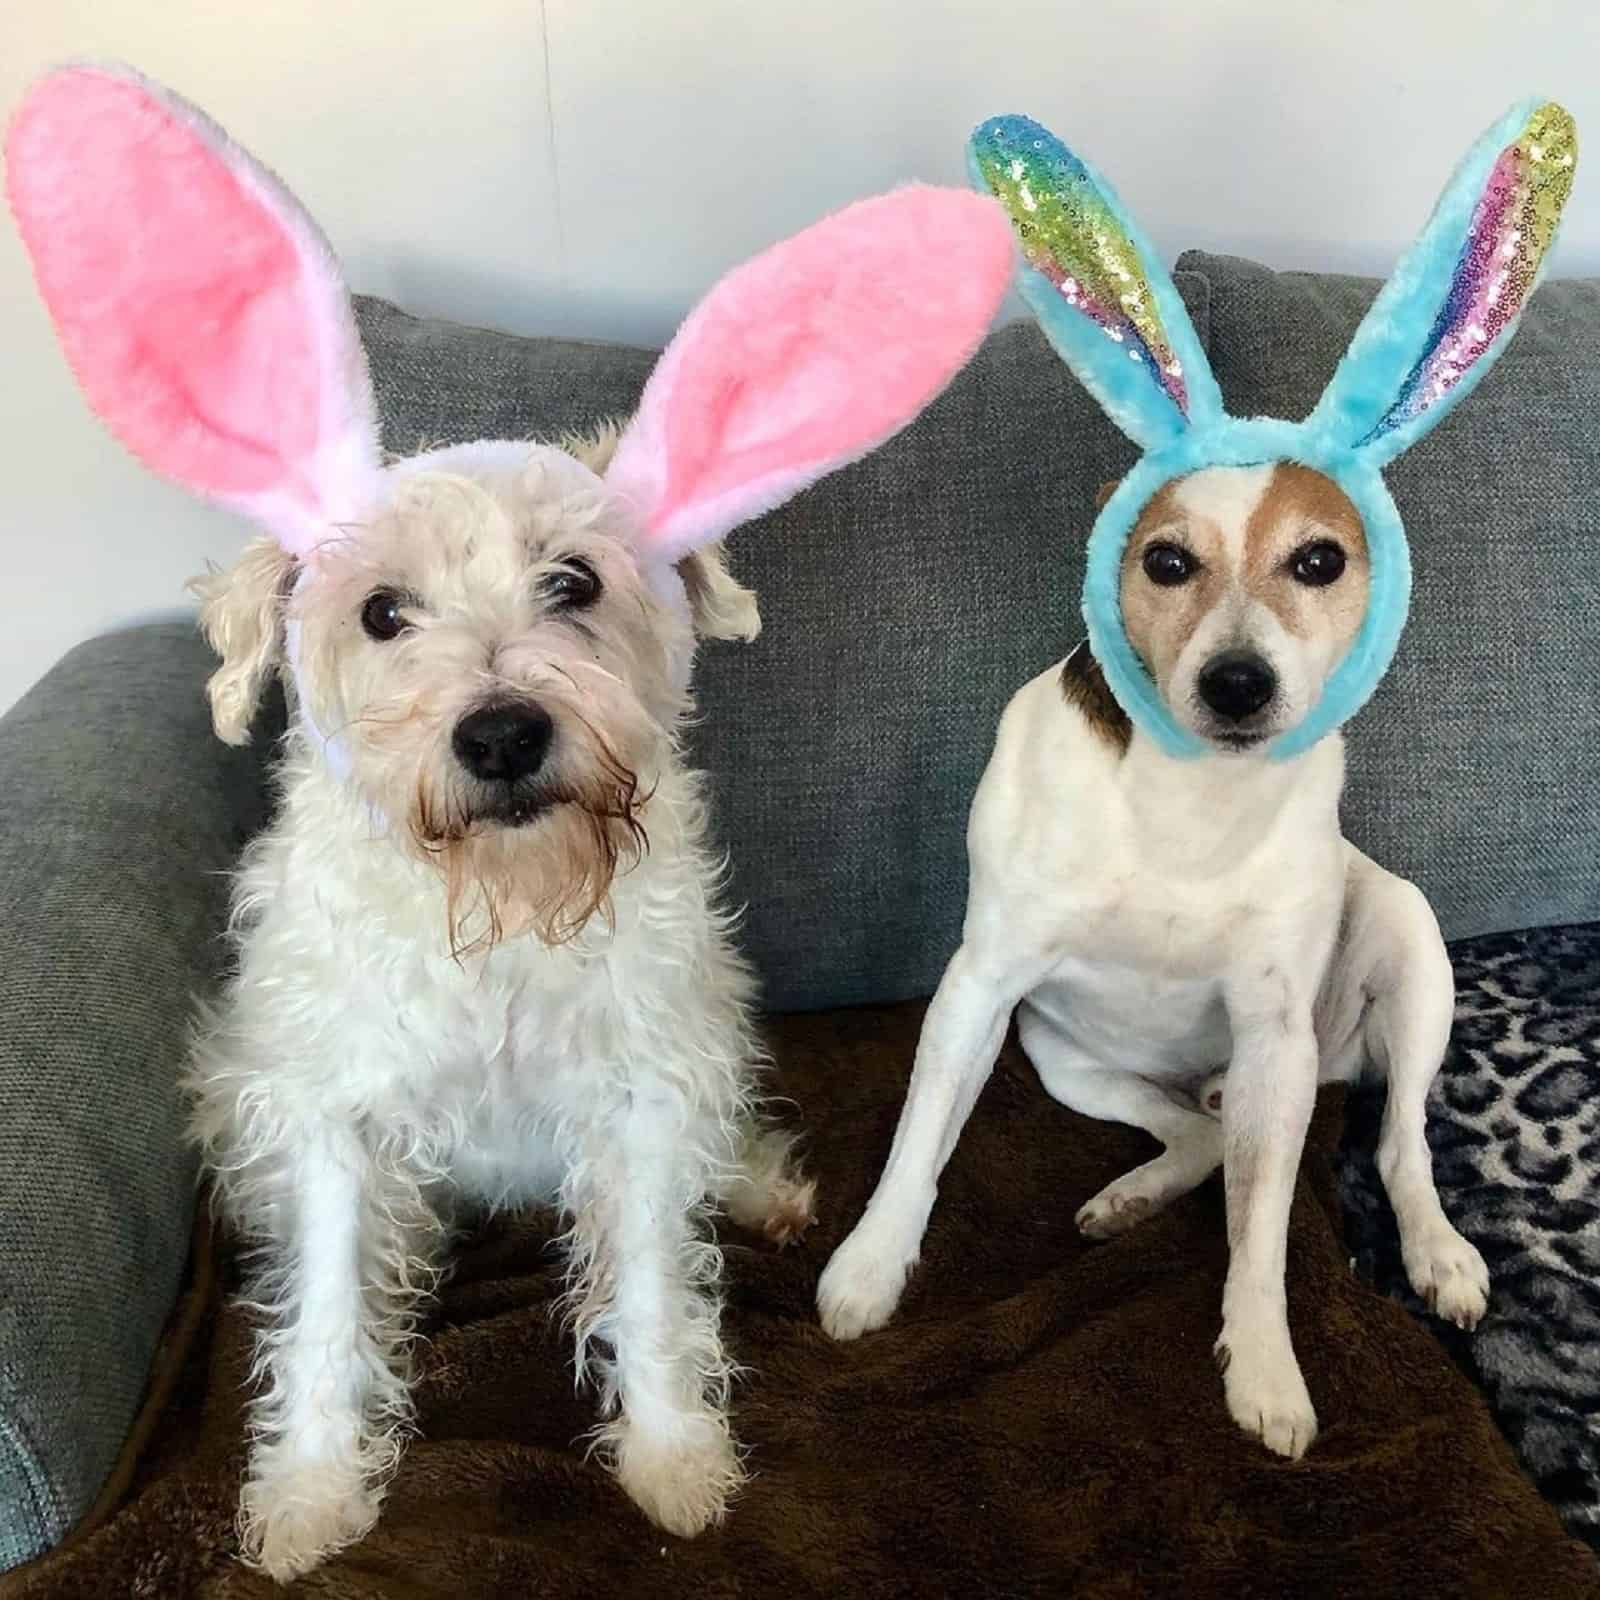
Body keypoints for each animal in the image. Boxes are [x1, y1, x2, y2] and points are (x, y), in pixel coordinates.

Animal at [819, 467, 1491, 1465]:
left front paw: (1264, 1366)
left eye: (1320, 560)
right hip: (1057, 1054)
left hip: (1404, 945)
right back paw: (1133, 1195)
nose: (1238, 682)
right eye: (1167, 562)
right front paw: (870, 1266)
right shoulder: (979, 988)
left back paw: (1438, 1251)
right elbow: (917, 1144)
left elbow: (1261, 1236)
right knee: (1199, 1135)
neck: (1194, 788)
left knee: (1398, 1141)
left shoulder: (1275, 1042)